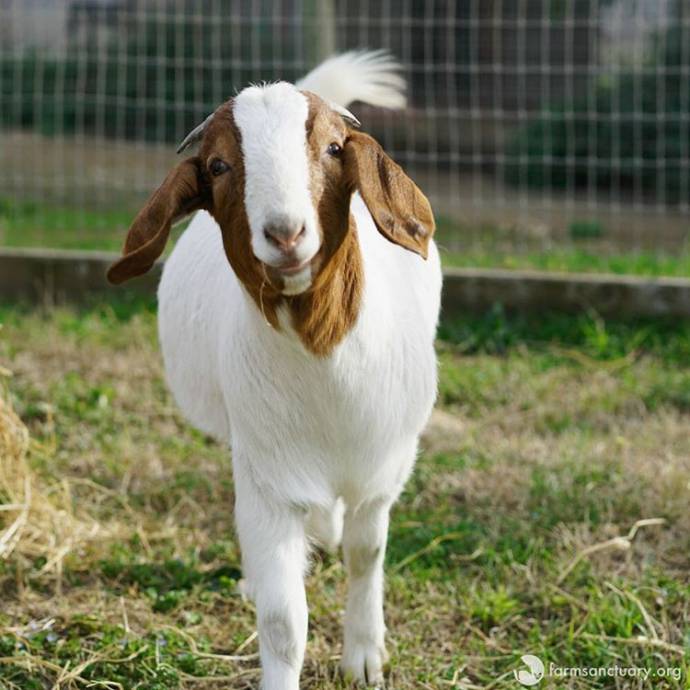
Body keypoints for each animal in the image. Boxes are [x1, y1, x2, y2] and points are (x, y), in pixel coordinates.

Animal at [108, 50, 442, 689]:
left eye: (334, 148)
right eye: (218, 165)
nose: (286, 232)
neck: (323, 363)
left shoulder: (382, 469)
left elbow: (365, 557)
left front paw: (364, 658)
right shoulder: (269, 481)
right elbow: (284, 620)